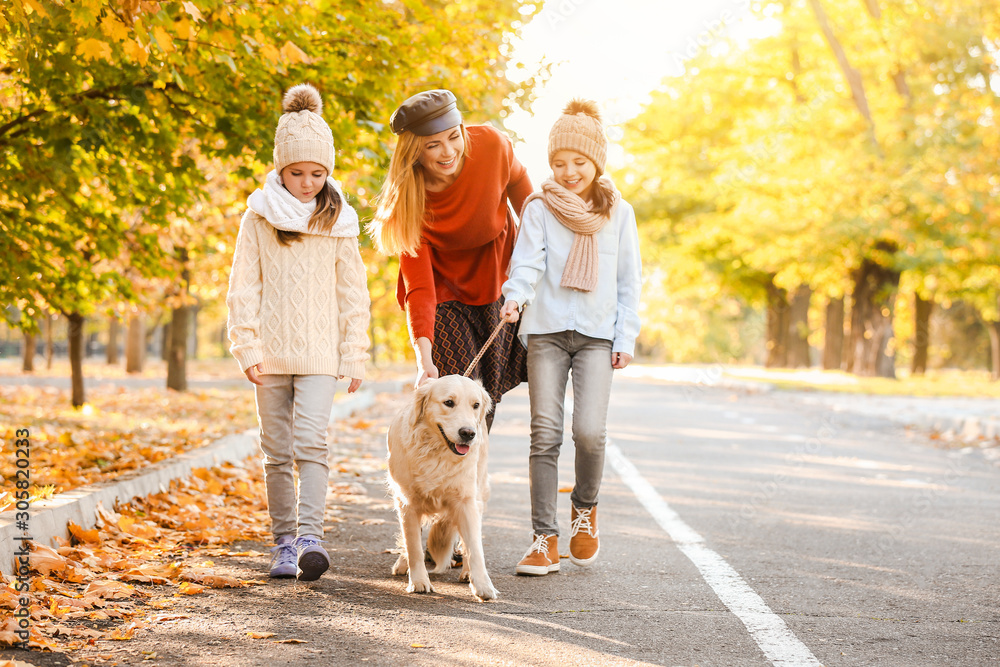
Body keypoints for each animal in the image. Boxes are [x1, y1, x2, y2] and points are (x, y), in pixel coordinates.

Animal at [388, 376, 500, 600]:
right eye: (449, 402)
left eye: (475, 405)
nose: (468, 433)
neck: (436, 452)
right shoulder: (407, 503)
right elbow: (413, 545)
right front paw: (419, 581)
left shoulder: (465, 502)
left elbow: (475, 547)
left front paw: (483, 585)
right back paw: (403, 564)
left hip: (479, 492)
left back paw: (467, 573)